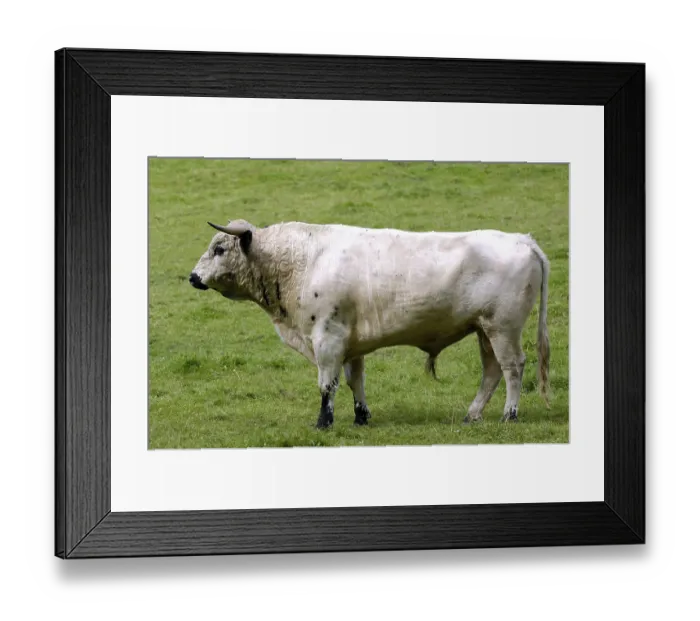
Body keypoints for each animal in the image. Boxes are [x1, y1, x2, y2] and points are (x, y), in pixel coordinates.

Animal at [189, 219, 551, 429]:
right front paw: (361, 415)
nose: (193, 277)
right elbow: (354, 381)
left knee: (513, 367)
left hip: (502, 328)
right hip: (485, 330)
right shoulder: (350, 342)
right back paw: (472, 414)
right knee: (491, 371)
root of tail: (523, 239)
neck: (303, 260)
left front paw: (324, 422)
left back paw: (509, 414)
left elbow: (327, 384)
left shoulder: (327, 339)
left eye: (219, 248)